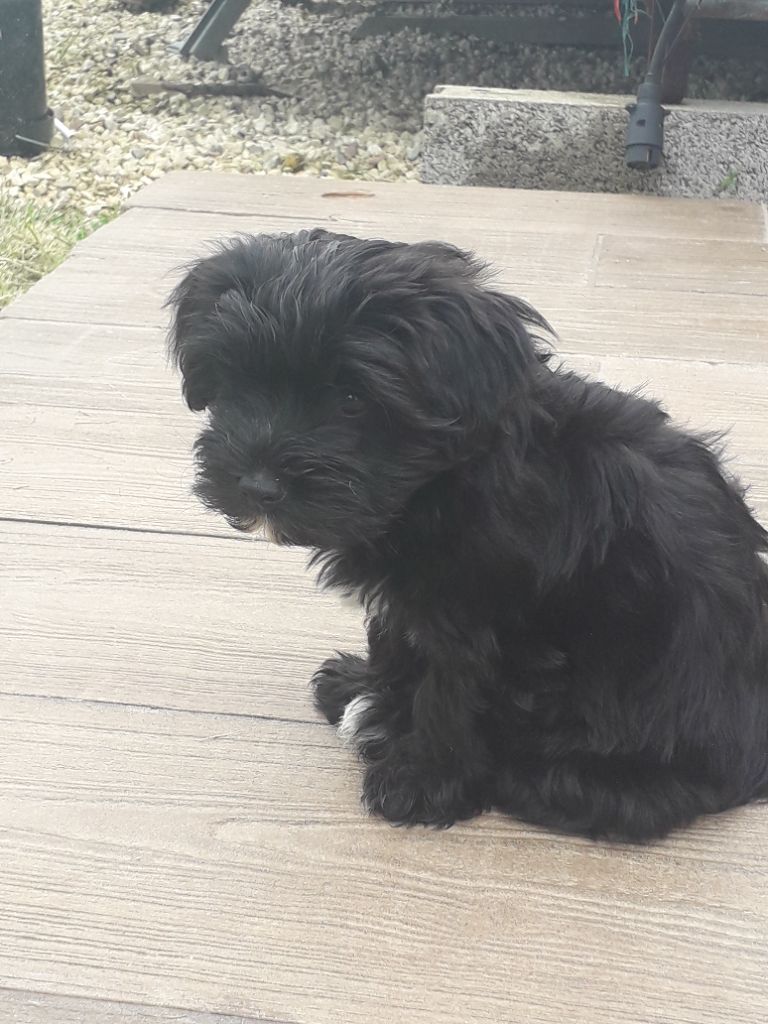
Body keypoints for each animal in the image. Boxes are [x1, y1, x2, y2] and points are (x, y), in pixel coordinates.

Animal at [168, 228, 768, 841]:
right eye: (238, 382)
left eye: (353, 400)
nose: (257, 485)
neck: (440, 482)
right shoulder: (415, 597)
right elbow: (393, 633)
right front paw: (366, 687)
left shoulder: (478, 619)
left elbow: (449, 695)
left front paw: (421, 780)